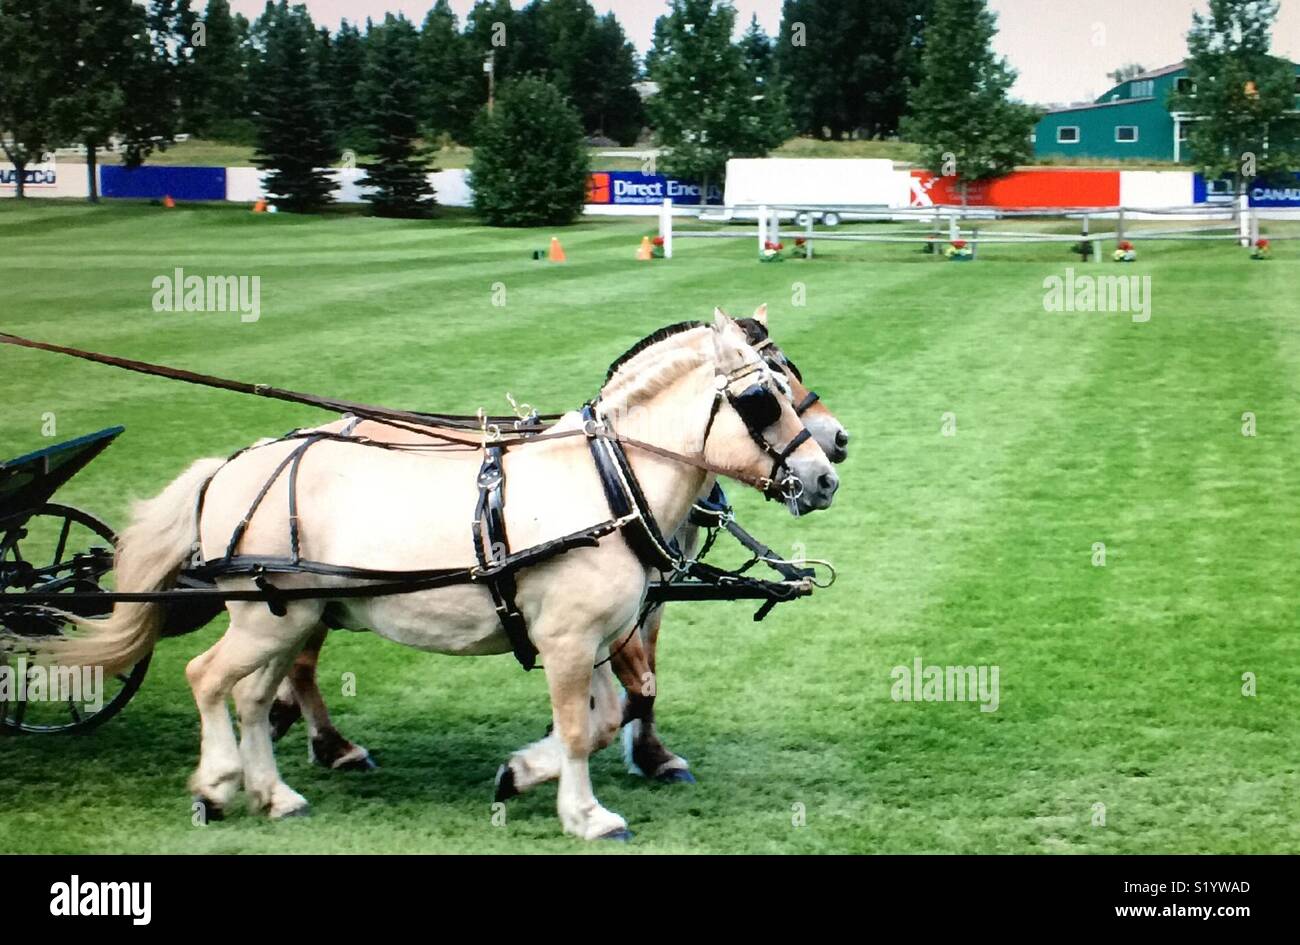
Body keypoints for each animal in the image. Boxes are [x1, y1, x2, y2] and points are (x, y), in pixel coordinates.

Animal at [34, 314, 838, 839]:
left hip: (289, 614)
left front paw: (522, 772)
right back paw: (218, 782)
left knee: (256, 695)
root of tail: (230, 466)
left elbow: (608, 716)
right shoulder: (569, 641)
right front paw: (585, 814)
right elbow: (582, 728)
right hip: (267, 616)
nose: (826, 468)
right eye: (764, 395)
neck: (607, 484)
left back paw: (276, 790)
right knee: (207, 678)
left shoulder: (598, 640)